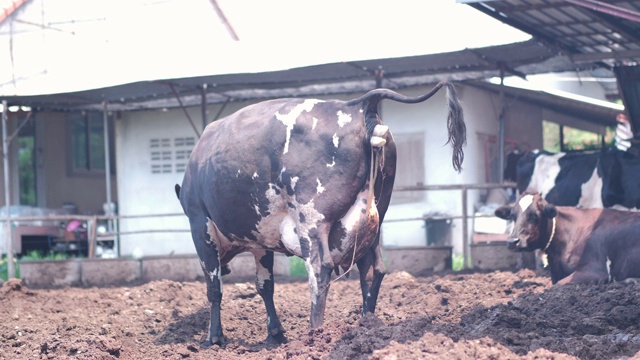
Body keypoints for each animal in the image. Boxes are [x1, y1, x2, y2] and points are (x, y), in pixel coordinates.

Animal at [175, 81, 464, 346]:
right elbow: (265, 286)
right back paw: (366, 324)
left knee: (319, 269)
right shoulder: (261, 238)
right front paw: (275, 333)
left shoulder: (200, 224)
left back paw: (314, 334)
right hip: (375, 219)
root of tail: (359, 105)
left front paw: (214, 338)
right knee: (373, 269)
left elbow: (214, 288)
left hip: (311, 220)